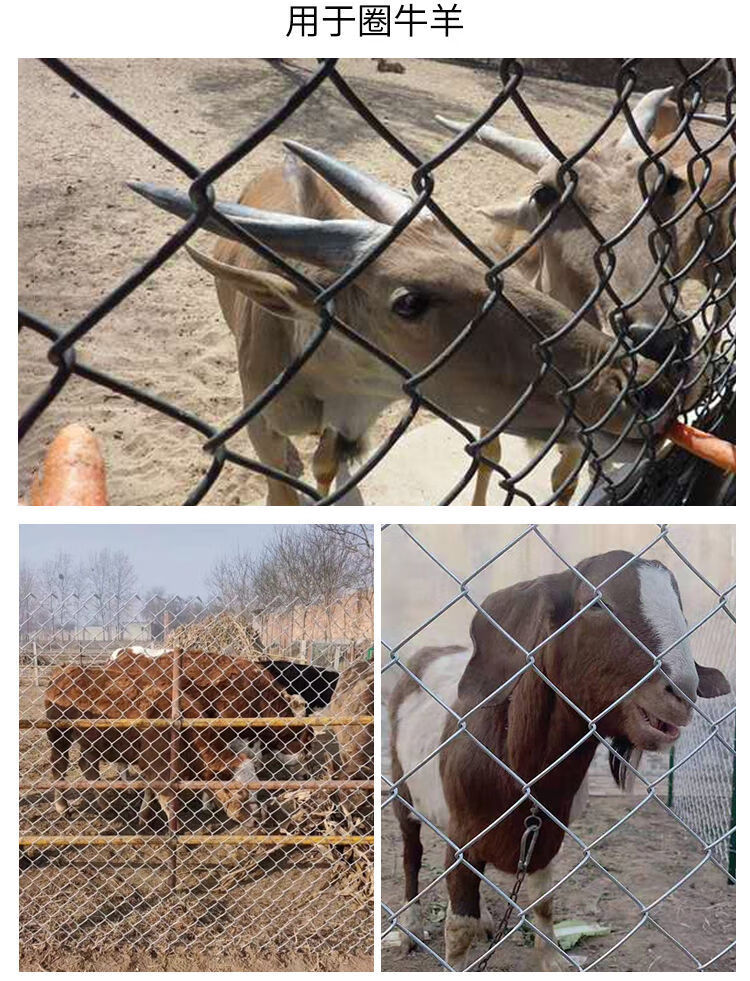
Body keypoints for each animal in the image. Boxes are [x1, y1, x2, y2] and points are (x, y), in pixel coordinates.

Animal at [129, 142, 680, 506]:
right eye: (410, 302)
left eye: (486, 265)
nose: (644, 386)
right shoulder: (262, 426)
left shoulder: (352, 420)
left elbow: (329, 463)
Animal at [390, 548, 732, 968]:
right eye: (597, 604)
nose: (682, 692)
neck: (518, 769)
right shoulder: (462, 837)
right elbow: (458, 928)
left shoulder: (545, 836)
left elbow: (544, 903)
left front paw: (552, 959)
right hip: (402, 787)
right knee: (412, 853)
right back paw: (410, 929)